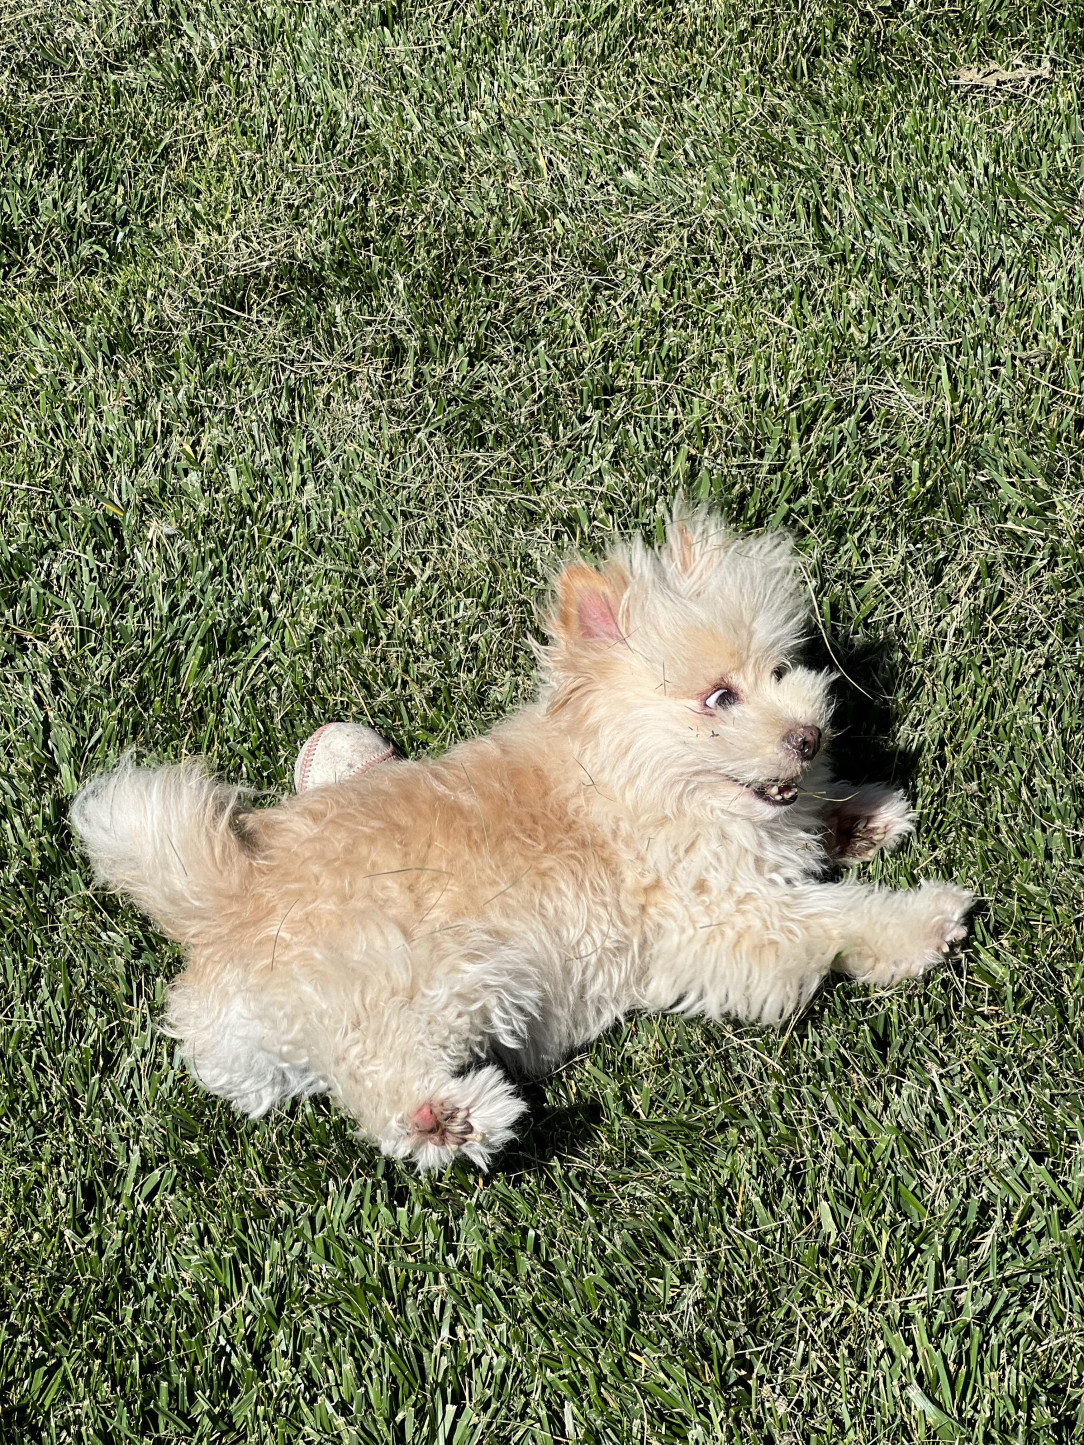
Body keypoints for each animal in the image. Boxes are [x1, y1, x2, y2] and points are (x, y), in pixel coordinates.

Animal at [74, 514, 977, 1167]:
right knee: (374, 1070)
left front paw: (857, 814)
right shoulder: (722, 916)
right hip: (435, 971)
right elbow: (834, 917)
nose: (808, 734)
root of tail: (218, 901)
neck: (624, 776)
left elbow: (811, 832)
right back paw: (450, 1118)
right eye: (719, 696)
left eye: (784, 670)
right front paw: (920, 921)